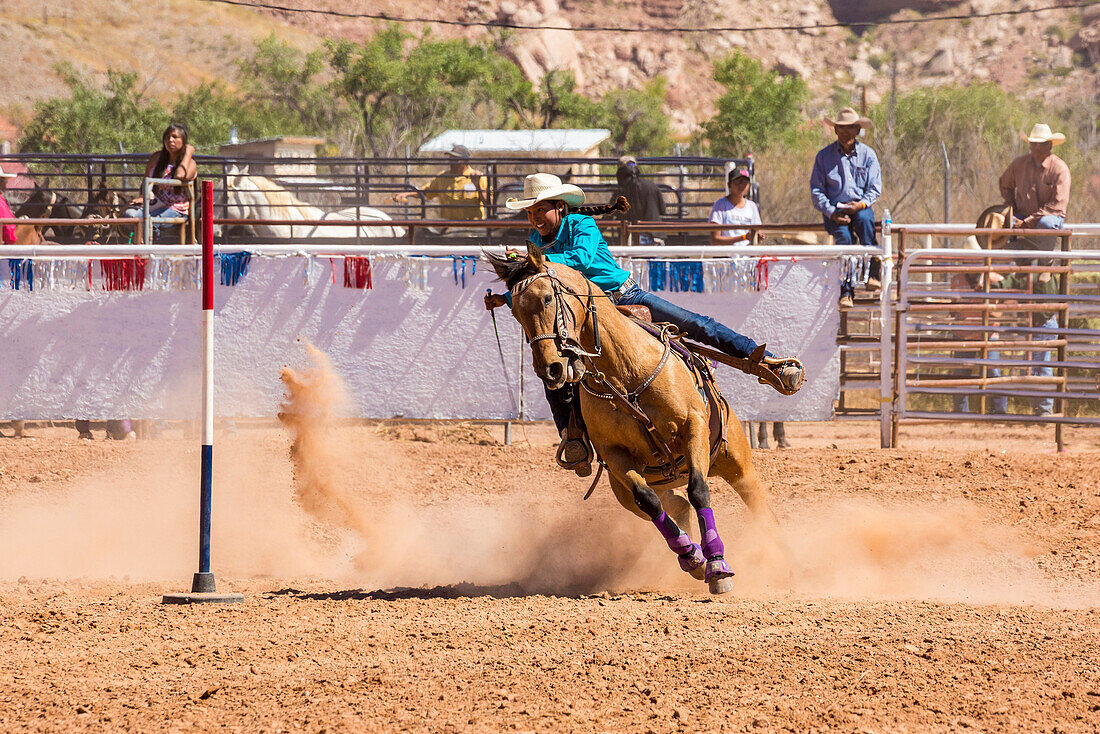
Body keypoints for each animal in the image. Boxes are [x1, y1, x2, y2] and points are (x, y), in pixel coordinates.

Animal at [488, 244, 783, 594]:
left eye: (547, 298)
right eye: (516, 312)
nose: (551, 369)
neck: (626, 372)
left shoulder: (693, 427)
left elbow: (699, 489)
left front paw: (718, 566)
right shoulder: (616, 456)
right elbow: (649, 502)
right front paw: (694, 558)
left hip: (736, 461)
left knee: (757, 505)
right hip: (627, 490)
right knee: (674, 506)